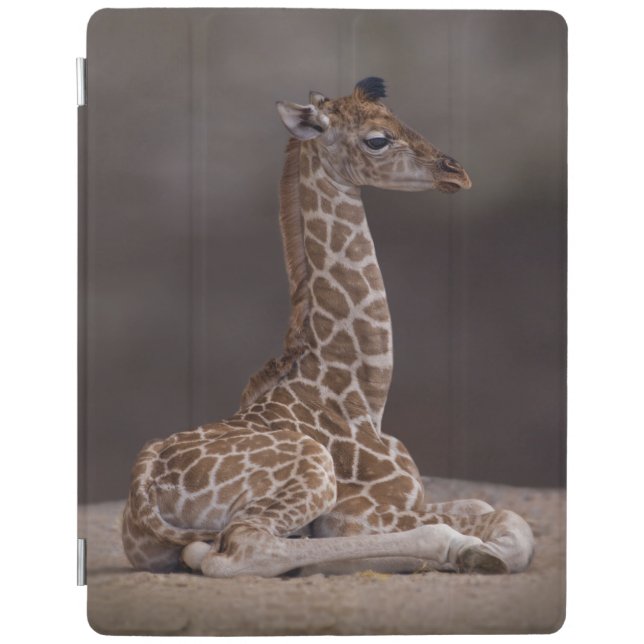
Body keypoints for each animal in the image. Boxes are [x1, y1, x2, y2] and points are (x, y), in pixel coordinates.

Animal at [122, 77, 534, 578]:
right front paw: (478, 552)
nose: (456, 172)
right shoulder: (362, 513)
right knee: (241, 547)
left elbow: (489, 507)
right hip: (312, 469)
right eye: (377, 139)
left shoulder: (409, 500)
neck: (362, 396)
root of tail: (143, 489)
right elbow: (509, 520)